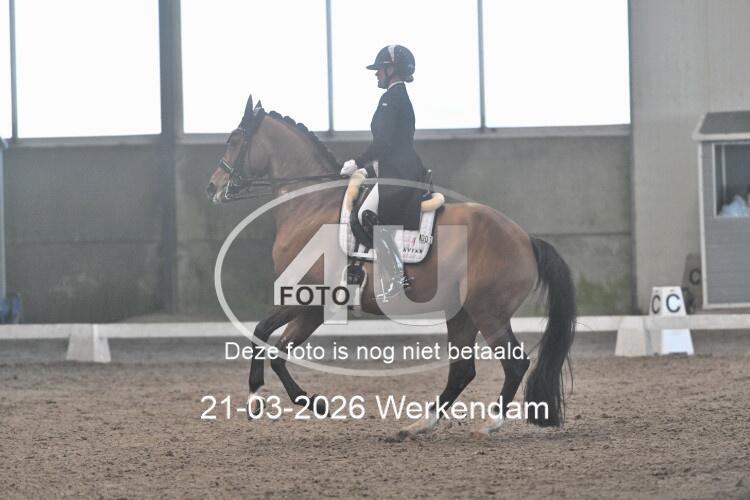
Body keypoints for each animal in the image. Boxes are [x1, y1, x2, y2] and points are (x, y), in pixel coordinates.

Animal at [206, 95, 576, 437]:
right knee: (462, 370)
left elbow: (260, 333)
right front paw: (316, 403)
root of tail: (525, 238)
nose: (212, 186)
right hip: (462, 313)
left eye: (235, 140)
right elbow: (278, 352)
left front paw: (256, 397)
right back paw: (420, 425)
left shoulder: (305, 296)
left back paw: (489, 425)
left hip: (488, 311)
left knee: (513, 363)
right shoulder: (315, 307)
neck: (311, 207)